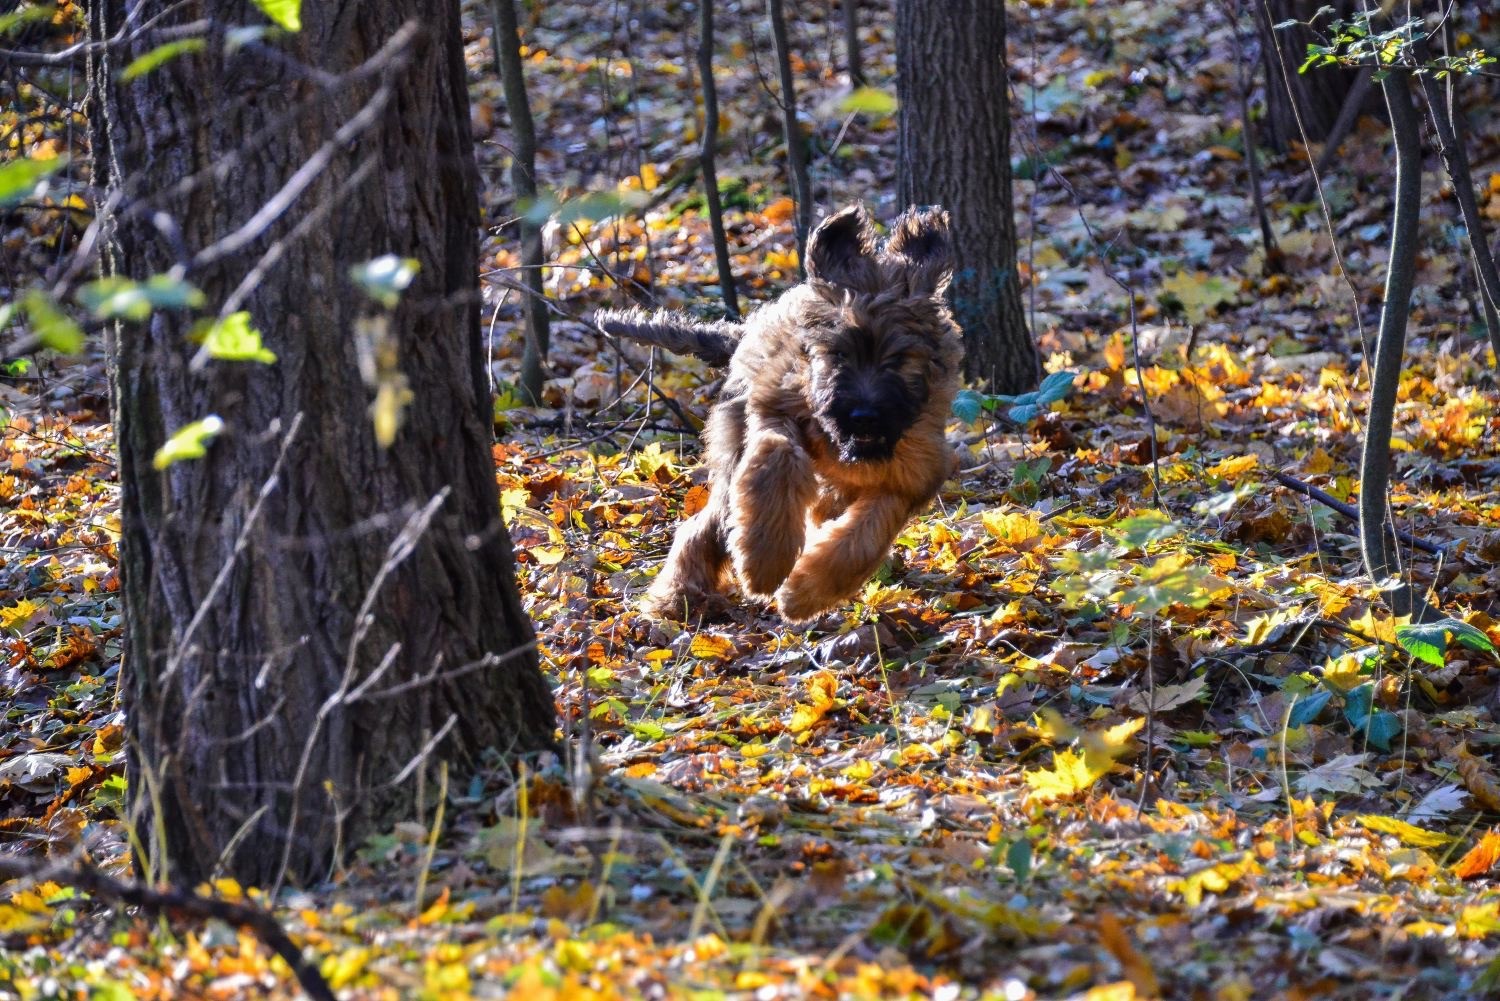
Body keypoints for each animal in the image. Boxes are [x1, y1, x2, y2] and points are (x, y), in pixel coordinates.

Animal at [597, 205, 960, 618]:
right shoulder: (774, 408)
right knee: (704, 526)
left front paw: (805, 593)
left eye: (899, 358)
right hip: (733, 445)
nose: (863, 416)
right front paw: (764, 565)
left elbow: (867, 534)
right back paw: (676, 598)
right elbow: (777, 459)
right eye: (838, 353)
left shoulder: (914, 473)